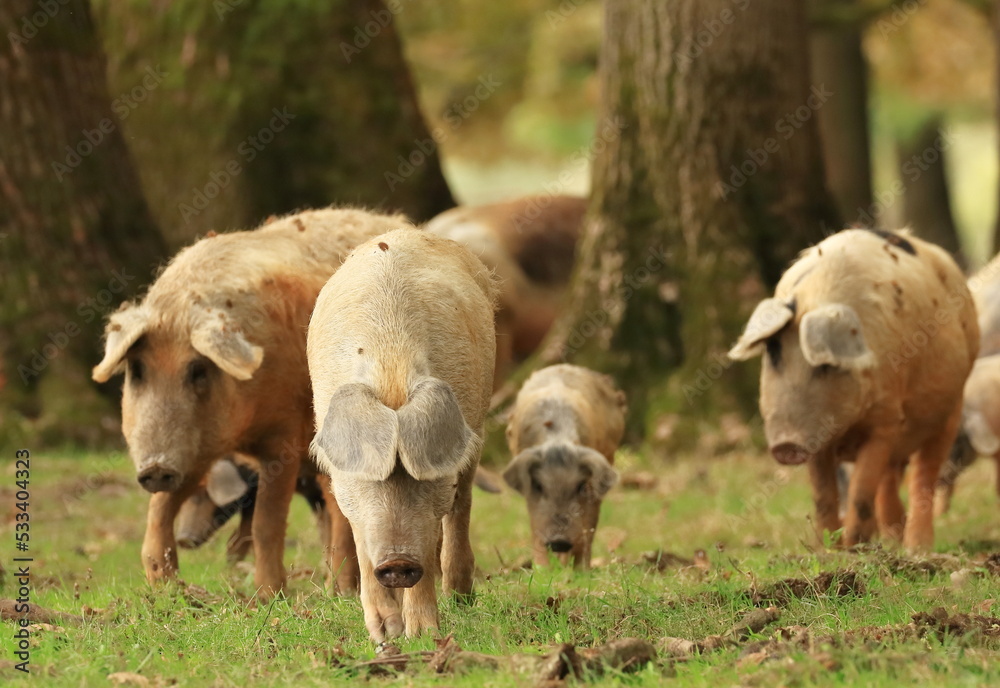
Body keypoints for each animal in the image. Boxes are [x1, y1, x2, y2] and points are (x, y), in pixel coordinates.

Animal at [92, 208, 412, 597]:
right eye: (137, 370)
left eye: (198, 369)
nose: (154, 468)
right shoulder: (195, 449)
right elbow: (159, 510)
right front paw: (165, 590)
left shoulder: (284, 437)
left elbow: (266, 522)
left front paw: (266, 597)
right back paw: (335, 589)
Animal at [308, 228, 497, 641]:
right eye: (370, 476)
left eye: (420, 477)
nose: (396, 562)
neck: (390, 366)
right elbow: (361, 539)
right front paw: (385, 635)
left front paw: (423, 635)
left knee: (461, 508)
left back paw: (460, 597)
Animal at [502, 364, 626, 568]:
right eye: (539, 486)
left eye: (581, 486)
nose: (559, 542)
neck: (558, 439)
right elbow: (536, 525)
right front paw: (542, 570)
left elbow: (587, 526)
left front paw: (581, 571)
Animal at [728, 228, 978, 550]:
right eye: (773, 353)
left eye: (824, 365)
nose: (787, 445)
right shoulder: (819, 438)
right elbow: (823, 495)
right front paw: (827, 549)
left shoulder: (885, 421)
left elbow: (860, 490)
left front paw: (852, 549)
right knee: (889, 479)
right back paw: (892, 540)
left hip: (951, 406)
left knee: (924, 475)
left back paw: (916, 548)